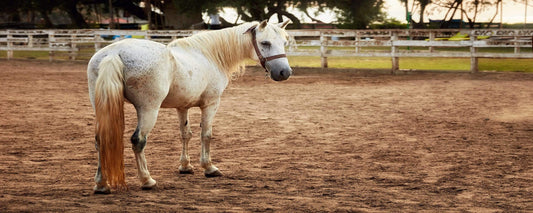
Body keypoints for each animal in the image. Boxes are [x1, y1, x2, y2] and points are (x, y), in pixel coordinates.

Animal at [89, 20, 294, 193]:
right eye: (265, 42)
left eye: (284, 42)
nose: (284, 72)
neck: (210, 56)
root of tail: (114, 53)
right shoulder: (211, 104)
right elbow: (206, 135)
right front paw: (209, 167)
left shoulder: (182, 107)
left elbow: (185, 134)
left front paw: (185, 166)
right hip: (148, 110)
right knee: (138, 140)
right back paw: (147, 180)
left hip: (102, 109)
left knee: (101, 140)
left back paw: (101, 184)